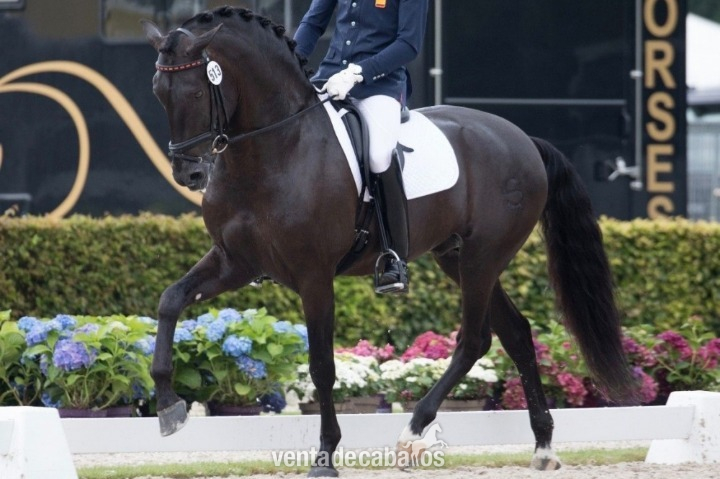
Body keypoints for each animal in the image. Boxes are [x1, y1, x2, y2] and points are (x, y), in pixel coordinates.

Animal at [142, 6, 638, 477]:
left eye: (196, 92)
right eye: (158, 92)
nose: (189, 174)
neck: (275, 148)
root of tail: (523, 139)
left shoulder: (314, 274)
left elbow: (322, 366)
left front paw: (325, 456)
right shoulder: (235, 262)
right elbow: (170, 300)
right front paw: (168, 406)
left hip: (483, 256)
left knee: (474, 339)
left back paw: (414, 431)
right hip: (456, 257)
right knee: (515, 332)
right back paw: (543, 447)